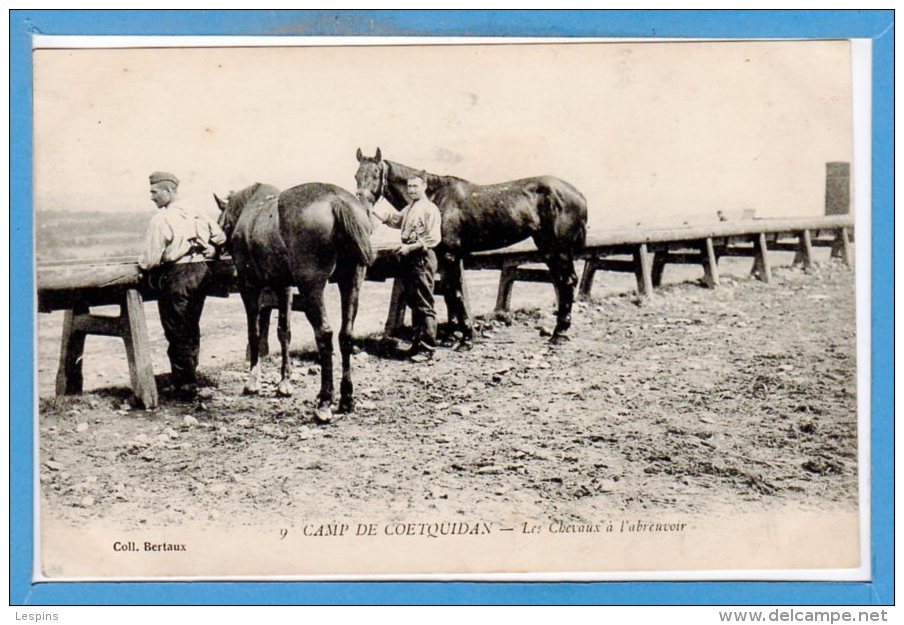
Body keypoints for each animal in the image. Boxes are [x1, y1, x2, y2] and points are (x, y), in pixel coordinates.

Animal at [215, 183, 374, 422]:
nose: (216, 245)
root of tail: (337, 200)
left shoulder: (249, 286)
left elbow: (254, 333)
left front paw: (253, 381)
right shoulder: (284, 287)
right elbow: (284, 332)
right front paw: (284, 383)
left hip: (312, 286)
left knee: (324, 334)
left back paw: (324, 402)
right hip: (352, 279)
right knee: (346, 335)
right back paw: (346, 399)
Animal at [354, 150, 588, 346]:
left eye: (375, 174)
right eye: (357, 175)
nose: (363, 206)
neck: (435, 197)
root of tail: (578, 193)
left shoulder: (451, 256)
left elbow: (456, 293)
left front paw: (466, 337)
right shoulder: (443, 259)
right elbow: (449, 294)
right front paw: (451, 336)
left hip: (558, 249)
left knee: (567, 282)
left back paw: (559, 334)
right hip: (548, 249)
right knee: (562, 281)